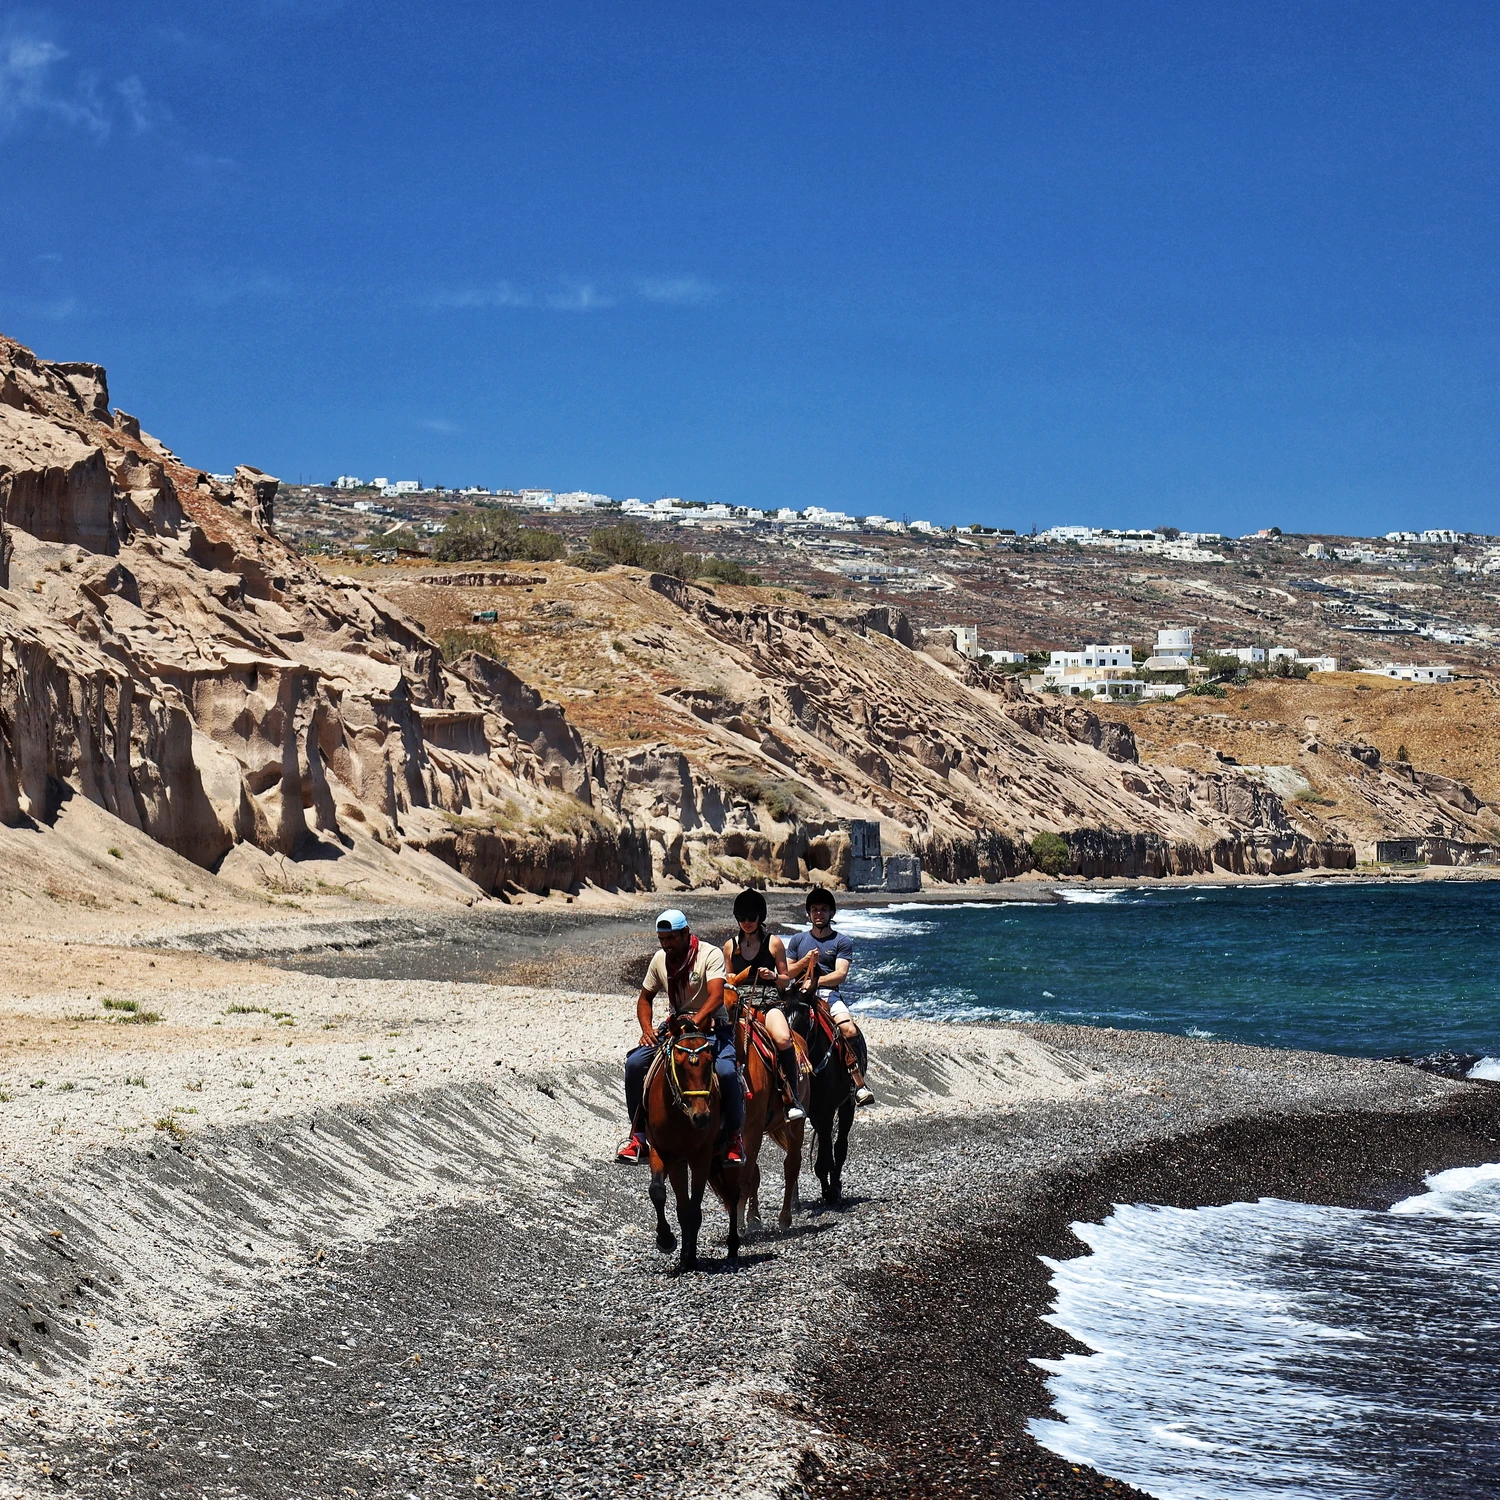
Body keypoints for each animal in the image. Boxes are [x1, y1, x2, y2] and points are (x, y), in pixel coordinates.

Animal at [645, 1014, 738, 1272]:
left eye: (710, 1061)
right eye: (678, 1063)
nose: (702, 1117)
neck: (679, 1115)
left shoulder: (701, 1157)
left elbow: (695, 1210)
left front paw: (691, 1258)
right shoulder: (664, 1152)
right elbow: (661, 1194)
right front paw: (667, 1240)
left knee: (735, 1194)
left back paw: (733, 1245)